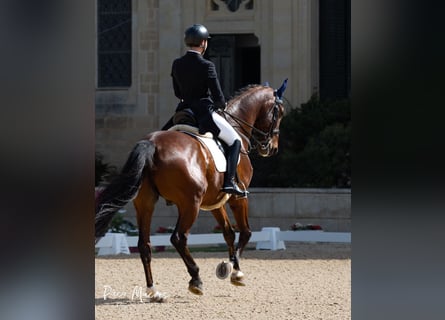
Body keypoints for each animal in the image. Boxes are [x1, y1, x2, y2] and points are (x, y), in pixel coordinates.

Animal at [95, 80, 286, 302]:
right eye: (279, 113)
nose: (271, 148)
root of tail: (152, 144)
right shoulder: (237, 197)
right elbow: (245, 232)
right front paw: (235, 271)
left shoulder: (215, 201)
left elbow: (228, 233)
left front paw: (228, 266)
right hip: (190, 204)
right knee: (178, 238)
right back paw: (196, 279)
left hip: (145, 202)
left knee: (144, 244)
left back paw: (154, 291)